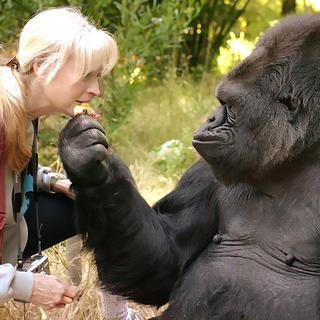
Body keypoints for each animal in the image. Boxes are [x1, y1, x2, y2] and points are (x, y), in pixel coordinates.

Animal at [58, 14, 320, 320]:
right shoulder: (206, 171)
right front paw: (90, 167)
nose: (210, 118)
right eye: (221, 102)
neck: (293, 162)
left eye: (230, 106)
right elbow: (166, 258)